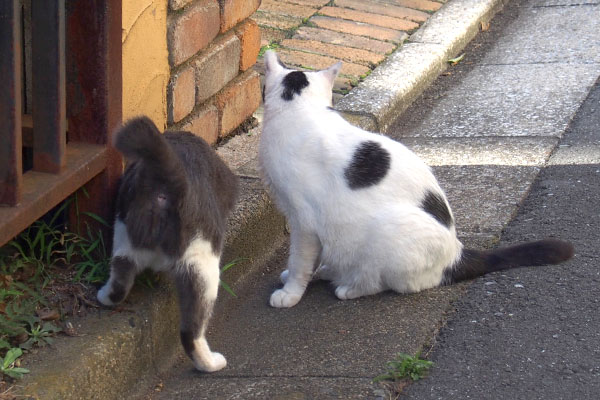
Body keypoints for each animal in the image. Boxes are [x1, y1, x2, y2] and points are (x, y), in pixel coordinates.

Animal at [97, 117, 238, 374]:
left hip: (126, 233)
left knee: (121, 274)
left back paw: (104, 296)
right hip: (201, 261)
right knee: (191, 330)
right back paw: (211, 363)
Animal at [260, 50, 576, 310]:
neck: (302, 111)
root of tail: (456, 252)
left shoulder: (303, 221)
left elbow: (300, 260)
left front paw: (291, 292)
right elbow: (310, 259)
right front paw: (309, 274)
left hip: (388, 230)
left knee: (380, 281)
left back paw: (349, 286)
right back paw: (332, 271)